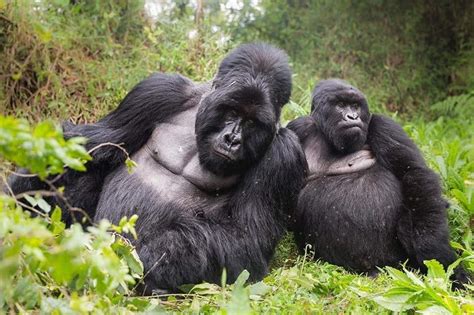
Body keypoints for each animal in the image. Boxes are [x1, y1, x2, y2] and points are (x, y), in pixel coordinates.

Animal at [9, 43, 308, 294]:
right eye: (232, 111)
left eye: (252, 122)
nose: (232, 140)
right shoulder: (159, 90)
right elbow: (96, 140)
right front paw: (19, 194)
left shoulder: (284, 155)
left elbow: (246, 241)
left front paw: (138, 260)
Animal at [288, 79, 470, 288]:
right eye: (341, 105)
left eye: (355, 105)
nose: (353, 116)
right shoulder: (298, 127)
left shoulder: (383, 124)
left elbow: (414, 174)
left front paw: (437, 254)